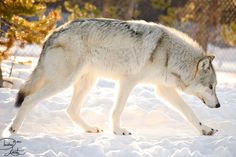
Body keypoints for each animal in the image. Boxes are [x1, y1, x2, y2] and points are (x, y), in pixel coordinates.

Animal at [8, 18, 219, 136]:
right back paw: (12, 130)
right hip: (63, 82)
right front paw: (119, 131)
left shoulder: (163, 89)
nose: (218, 105)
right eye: (211, 87)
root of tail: (53, 33)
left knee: (71, 110)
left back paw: (90, 129)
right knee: (29, 99)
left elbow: (189, 111)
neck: (169, 55)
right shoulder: (128, 82)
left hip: (87, 82)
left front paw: (205, 129)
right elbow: (117, 111)